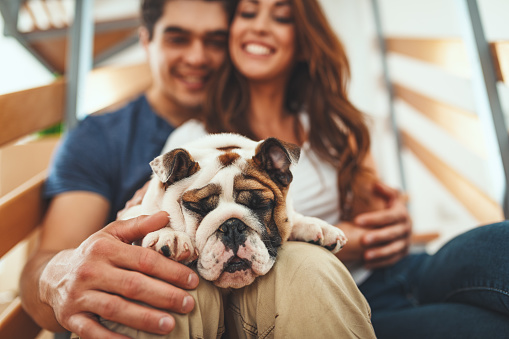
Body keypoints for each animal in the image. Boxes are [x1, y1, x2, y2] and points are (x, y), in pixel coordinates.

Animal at [120, 134, 346, 288]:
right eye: (197, 208)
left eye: (260, 205)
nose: (232, 227)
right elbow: (151, 217)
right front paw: (170, 235)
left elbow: (293, 218)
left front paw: (318, 227)